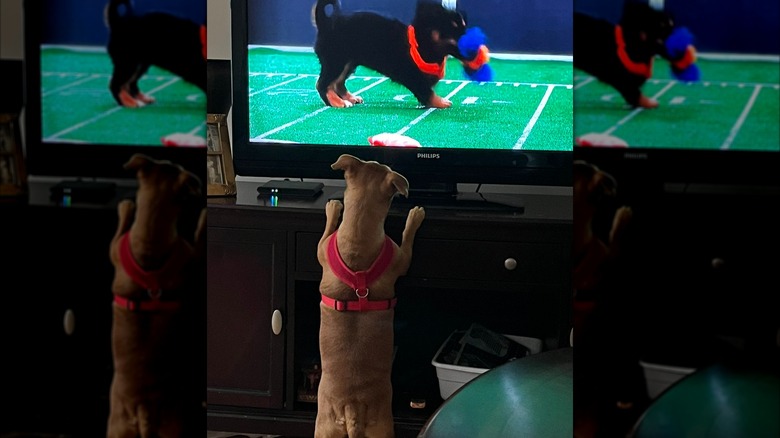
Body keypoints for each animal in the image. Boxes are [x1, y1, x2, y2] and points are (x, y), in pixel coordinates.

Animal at [314, 0, 472, 108]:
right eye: (453, 26)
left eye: (464, 25)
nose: (473, 40)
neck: (420, 43)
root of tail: (325, 23)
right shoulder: (414, 79)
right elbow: (428, 93)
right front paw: (440, 102)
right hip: (336, 61)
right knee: (322, 84)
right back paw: (338, 102)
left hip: (348, 63)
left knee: (337, 83)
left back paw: (350, 98)